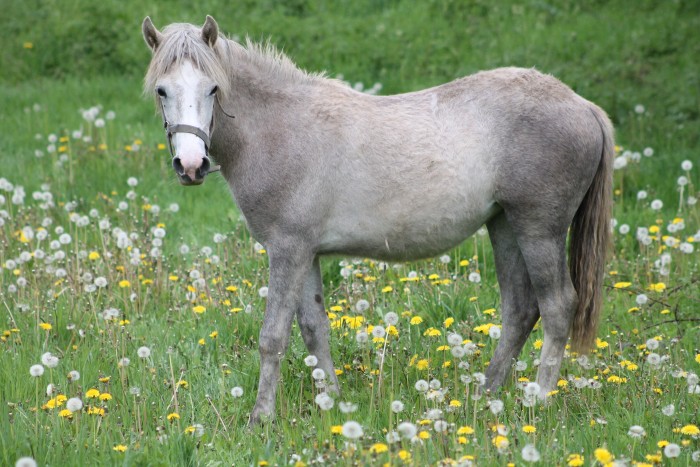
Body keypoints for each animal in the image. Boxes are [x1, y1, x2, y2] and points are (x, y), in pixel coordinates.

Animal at [142, 15, 612, 424]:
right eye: (162, 90)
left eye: (213, 88)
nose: (191, 165)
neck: (280, 129)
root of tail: (583, 106)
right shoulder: (306, 254)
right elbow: (314, 329)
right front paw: (331, 402)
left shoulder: (288, 251)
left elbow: (273, 337)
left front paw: (261, 418)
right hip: (506, 227)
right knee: (519, 310)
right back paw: (486, 396)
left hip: (538, 231)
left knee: (557, 306)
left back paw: (540, 401)